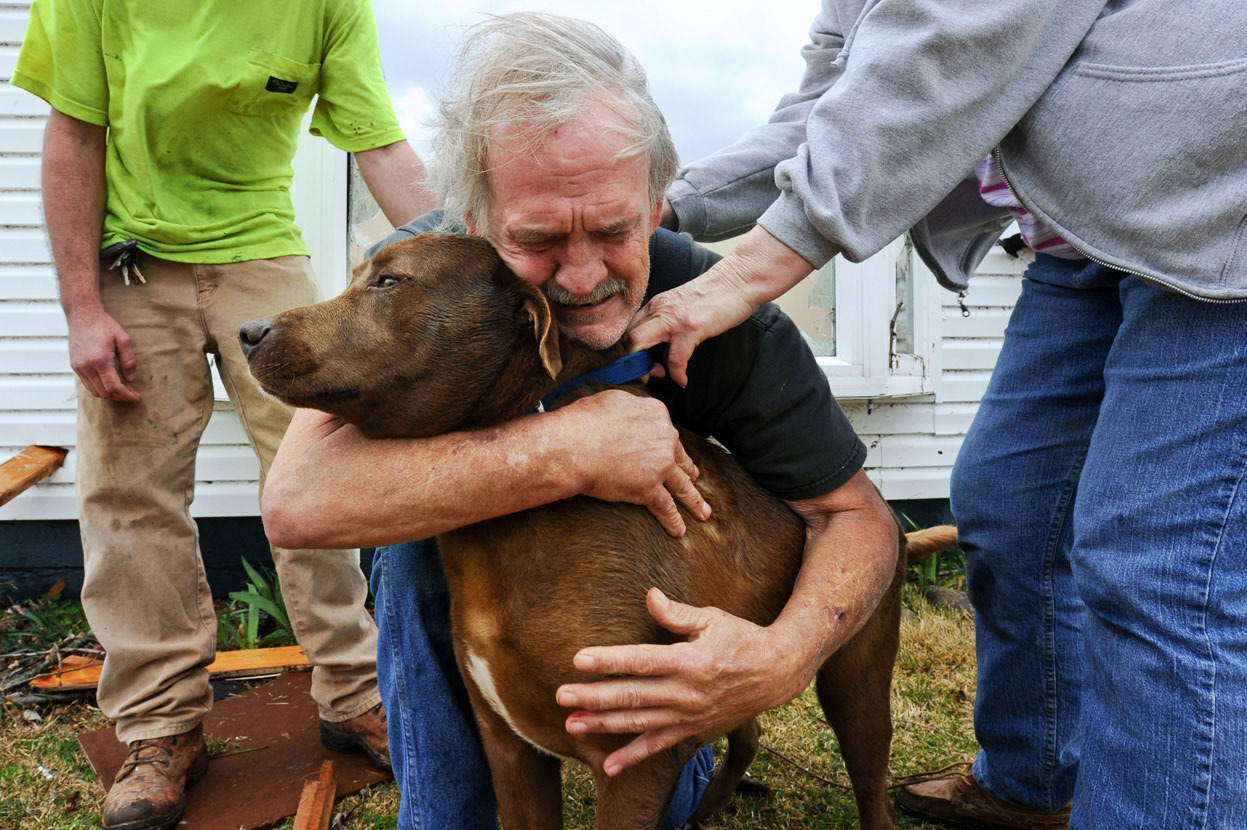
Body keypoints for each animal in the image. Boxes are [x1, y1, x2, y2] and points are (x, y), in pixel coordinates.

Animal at [238, 234, 947, 827]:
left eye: (390, 282)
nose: (248, 330)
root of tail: (892, 523)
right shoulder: (511, 751)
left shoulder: (634, 757)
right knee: (745, 727)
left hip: (855, 680)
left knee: (870, 783)